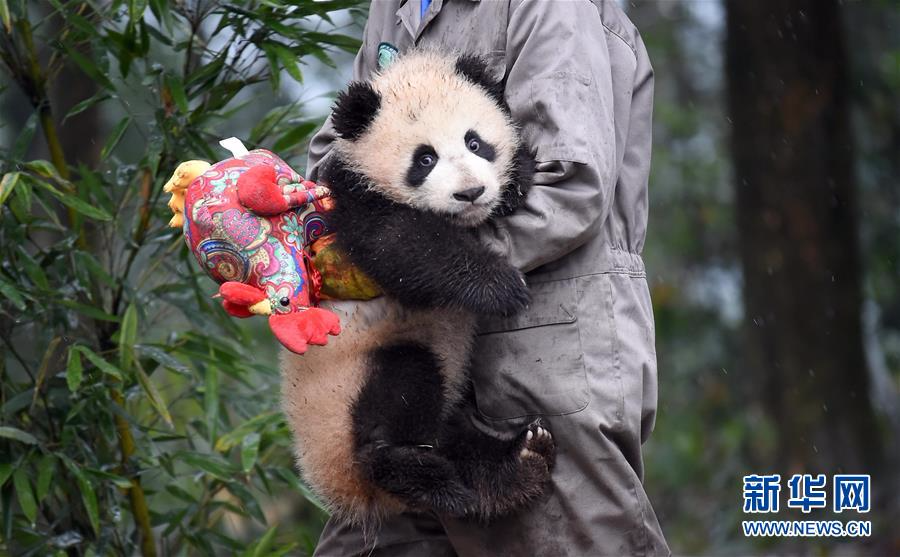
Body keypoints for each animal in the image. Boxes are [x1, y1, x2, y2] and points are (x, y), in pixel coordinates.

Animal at [296, 1, 668, 556]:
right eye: (424, 158)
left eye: (476, 142)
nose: (471, 193)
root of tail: (342, 488)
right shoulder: (352, 199)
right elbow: (404, 245)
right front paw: (500, 286)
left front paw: (517, 181)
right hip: (346, 388)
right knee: (399, 392)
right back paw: (414, 470)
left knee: (465, 450)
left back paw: (518, 463)